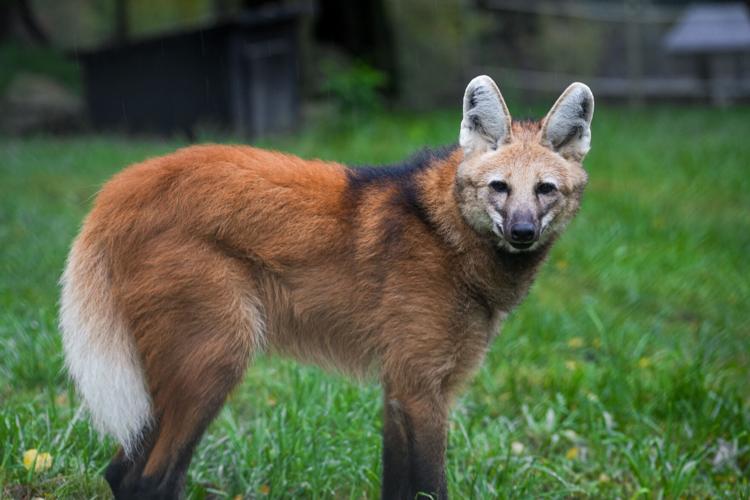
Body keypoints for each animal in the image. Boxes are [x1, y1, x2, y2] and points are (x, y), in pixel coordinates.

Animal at [60, 75, 593, 499]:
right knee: (150, 479)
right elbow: (429, 487)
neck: (446, 233)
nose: (522, 232)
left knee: (119, 471)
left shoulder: (401, 386)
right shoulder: (420, 388)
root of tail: (125, 185)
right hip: (217, 357)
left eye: (545, 189)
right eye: (499, 187)